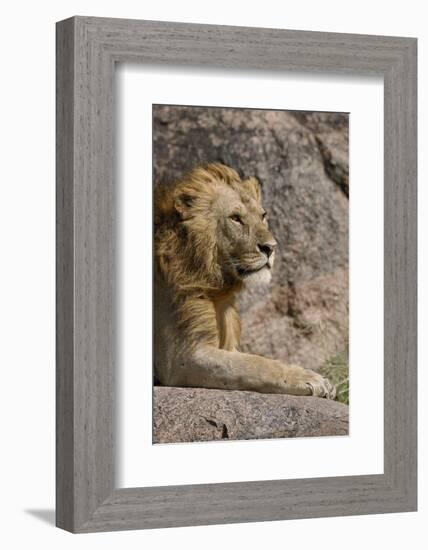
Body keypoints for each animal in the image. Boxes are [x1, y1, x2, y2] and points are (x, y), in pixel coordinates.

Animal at [155, 162, 338, 398]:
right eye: (235, 218)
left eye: (263, 216)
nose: (271, 248)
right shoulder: (182, 357)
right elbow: (257, 365)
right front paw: (312, 379)